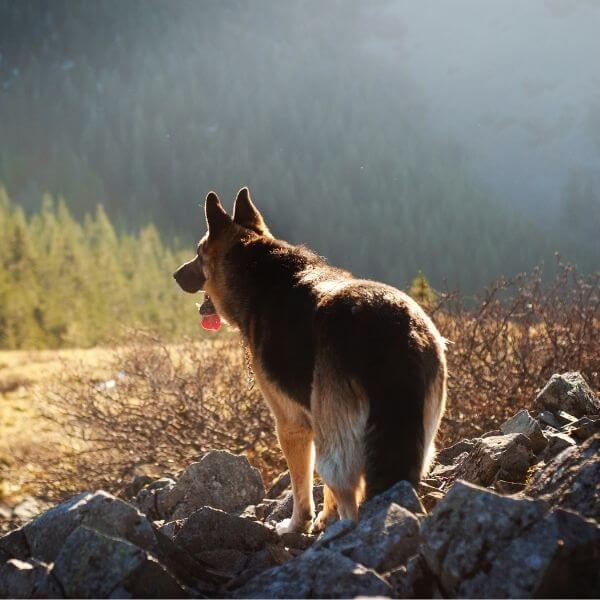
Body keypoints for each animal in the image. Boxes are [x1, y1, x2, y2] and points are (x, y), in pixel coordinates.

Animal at [173, 189, 446, 536]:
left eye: (198, 253)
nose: (175, 274)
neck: (258, 267)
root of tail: (392, 332)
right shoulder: (318, 420)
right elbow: (325, 494)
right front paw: (325, 518)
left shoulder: (291, 424)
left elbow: (301, 487)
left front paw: (296, 524)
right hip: (417, 437)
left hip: (336, 448)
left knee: (349, 496)